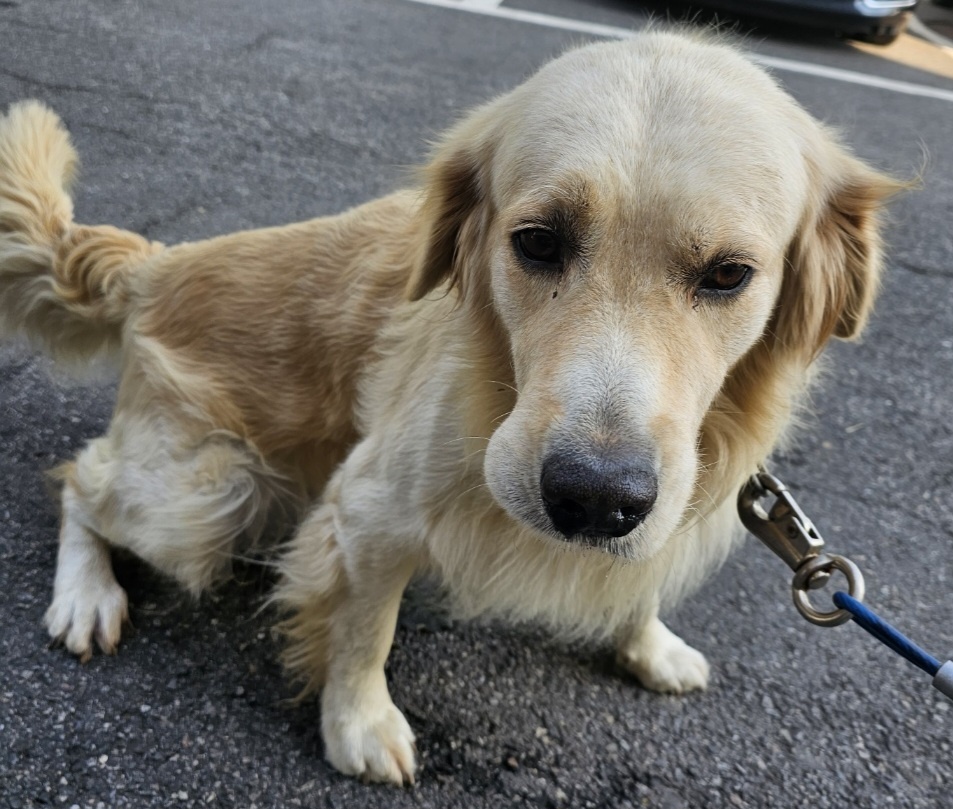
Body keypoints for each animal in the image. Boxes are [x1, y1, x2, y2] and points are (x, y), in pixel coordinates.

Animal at [0, 31, 896, 784]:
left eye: (727, 274)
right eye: (537, 241)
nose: (592, 498)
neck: (495, 380)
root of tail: (156, 264)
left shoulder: (670, 494)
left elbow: (640, 571)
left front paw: (649, 644)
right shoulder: (370, 509)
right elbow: (365, 629)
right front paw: (358, 723)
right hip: (207, 493)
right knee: (81, 480)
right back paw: (86, 596)